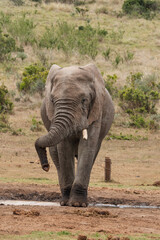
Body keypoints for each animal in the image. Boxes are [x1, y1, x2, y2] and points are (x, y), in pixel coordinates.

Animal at [35, 63, 114, 206]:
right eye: (52, 100)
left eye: (84, 100)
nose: (45, 166)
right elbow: (64, 149)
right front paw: (69, 203)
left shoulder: (96, 112)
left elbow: (87, 147)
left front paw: (78, 204)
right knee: (57, 157)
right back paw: (64, 200)